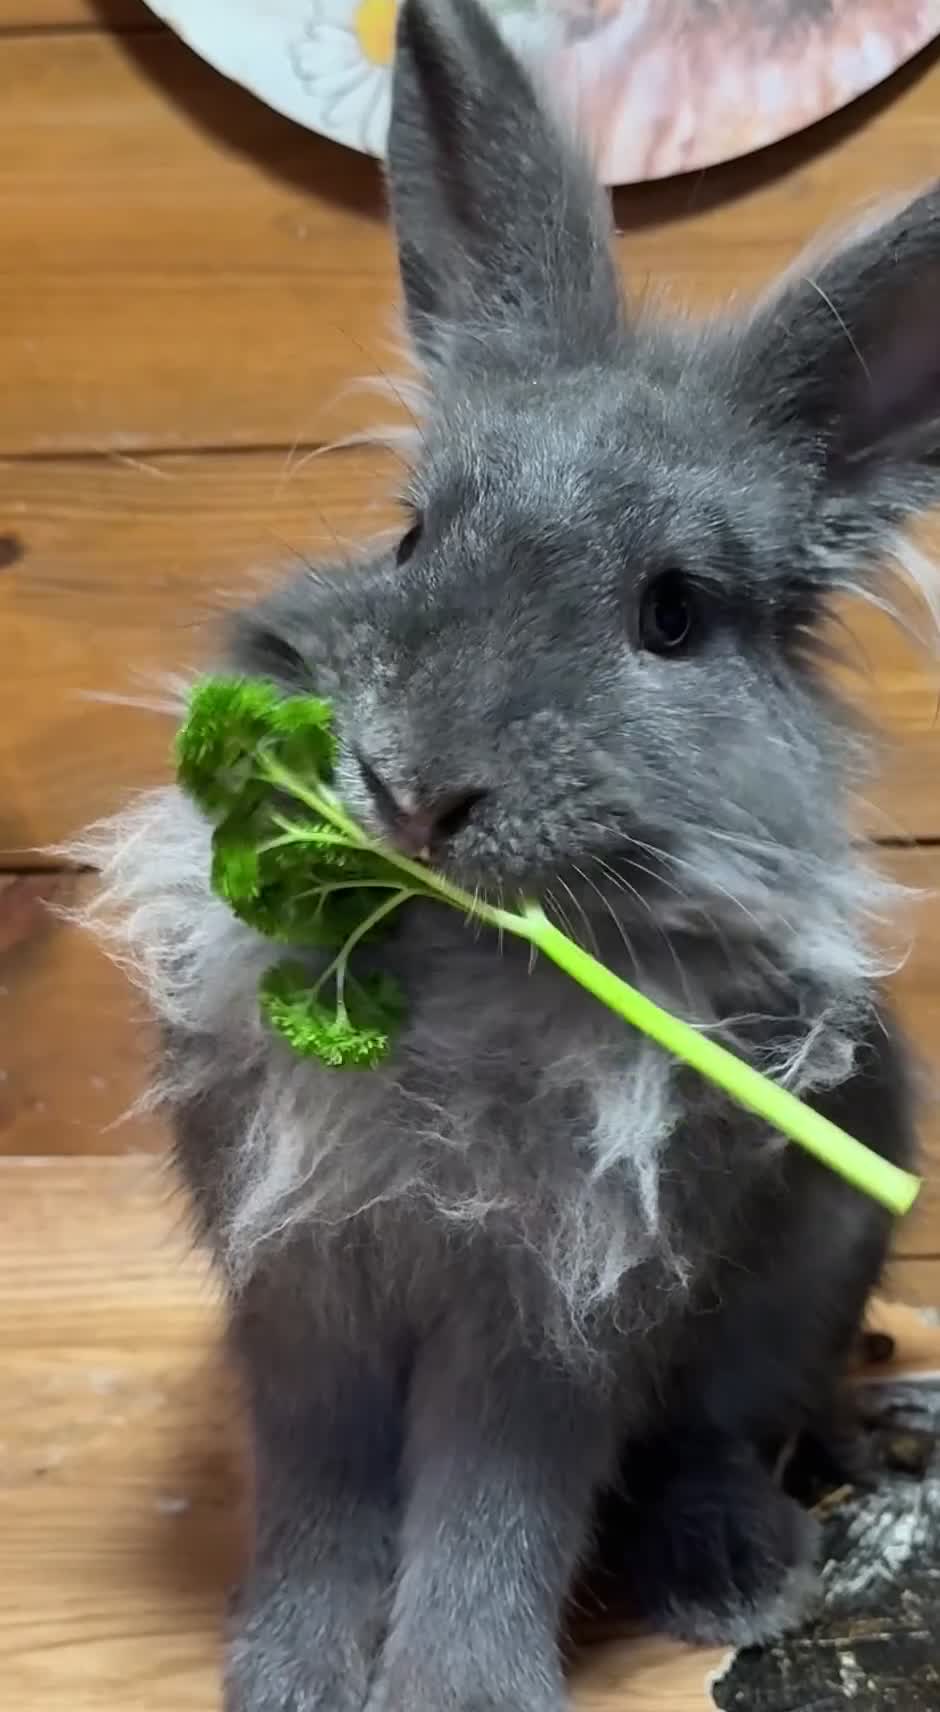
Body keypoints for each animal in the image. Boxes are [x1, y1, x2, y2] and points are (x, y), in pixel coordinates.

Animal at [71, 0, 940, 1705]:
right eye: (414, 538)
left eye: (673, 615)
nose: (415, 795)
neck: (447, 963)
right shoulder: (303, 1295)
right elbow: (324, 1499)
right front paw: (288, 1672)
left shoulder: (547, 1317)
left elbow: (493, 1514)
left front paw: (456, 1686)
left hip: (804, 1283)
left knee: (721, 1439)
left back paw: (734, 1578)